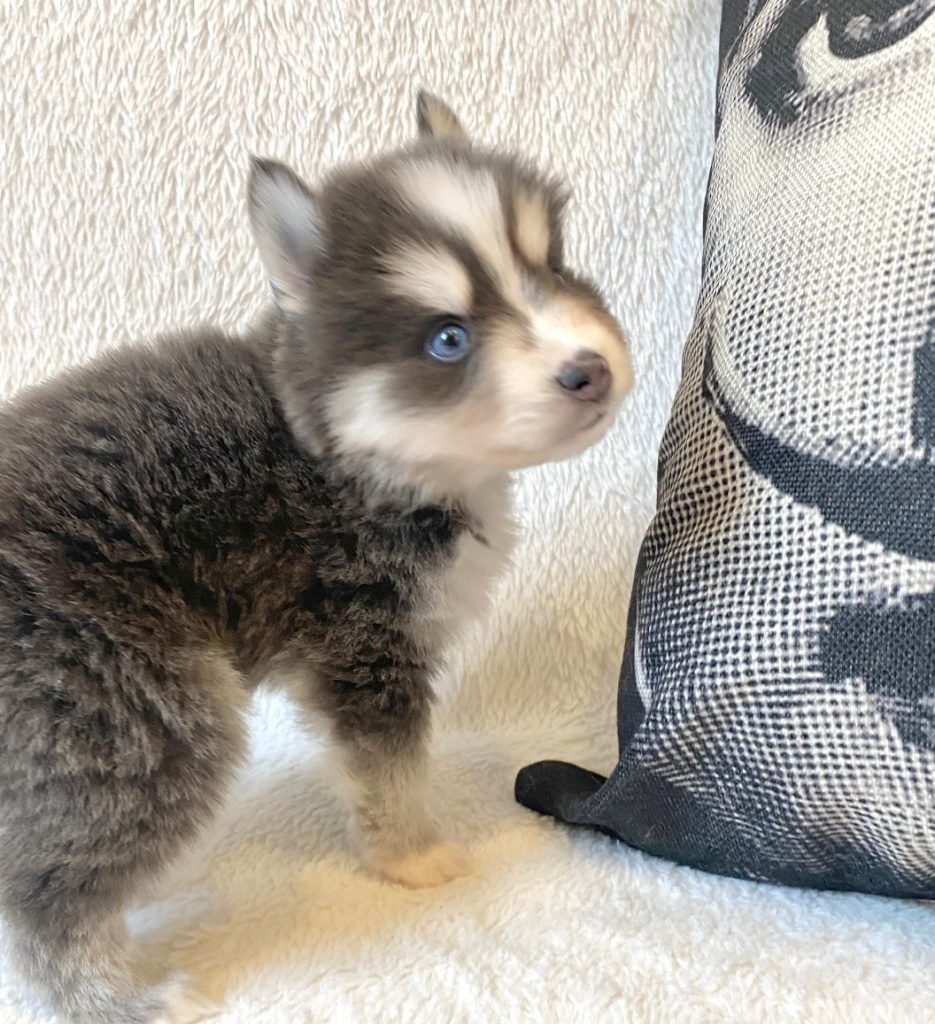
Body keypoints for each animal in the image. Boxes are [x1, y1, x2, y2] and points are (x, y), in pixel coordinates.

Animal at [0, 92, 631, 1023]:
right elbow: (391, 772)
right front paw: (412, 859)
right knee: (53, 894)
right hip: (134, 707)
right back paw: (128, 995)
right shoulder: (363, 640)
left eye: (548, 266)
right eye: (448, 340)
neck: (342, 453)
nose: (588, 370)